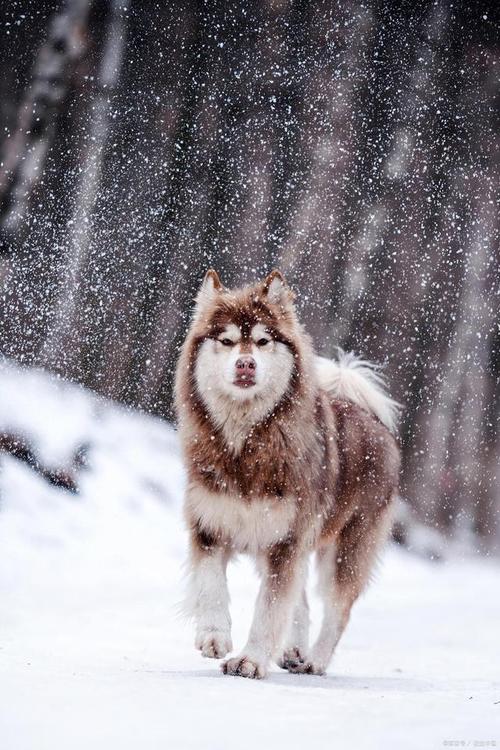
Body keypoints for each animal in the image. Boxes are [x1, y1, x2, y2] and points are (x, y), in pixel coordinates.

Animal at [174, 270, 400, 680]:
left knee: (337, 609)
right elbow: (211, 585)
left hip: (347, 548)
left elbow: (270, 608)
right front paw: (213, 635)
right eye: (227, 340)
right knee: (304, 602)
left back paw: (314, 660)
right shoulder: (210, 522)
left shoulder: (286, 539)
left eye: (263, 341)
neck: (246, 445)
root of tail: (370, 417)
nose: (246, 365)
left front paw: (250, 660)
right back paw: (294, 650)